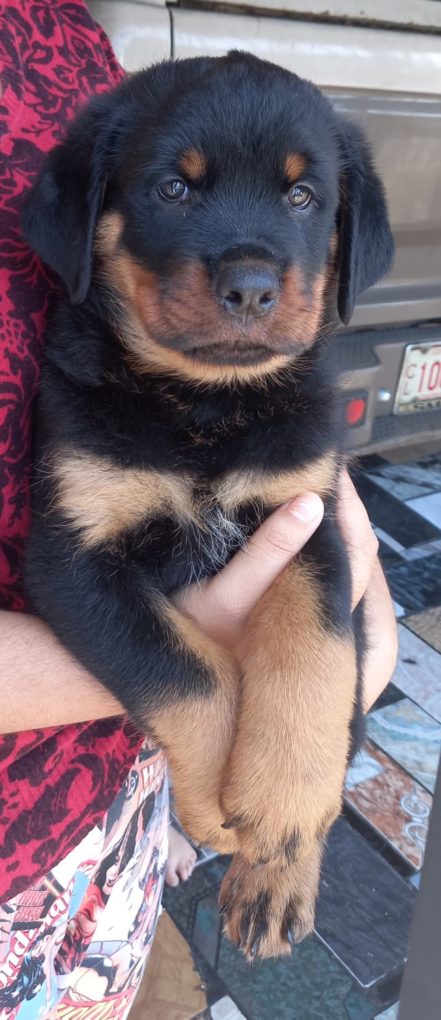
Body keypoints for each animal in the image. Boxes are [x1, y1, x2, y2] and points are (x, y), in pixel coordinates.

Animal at [22, 53, 392, 962]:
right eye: (172, 189)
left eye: (303, 197)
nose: (251, 287)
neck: (205, 405)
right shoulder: (71, 557)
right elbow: (186, 673)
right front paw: (218, 814)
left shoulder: (310, 518)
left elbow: (311, 665)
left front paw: (276, 811)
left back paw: (276, 885)